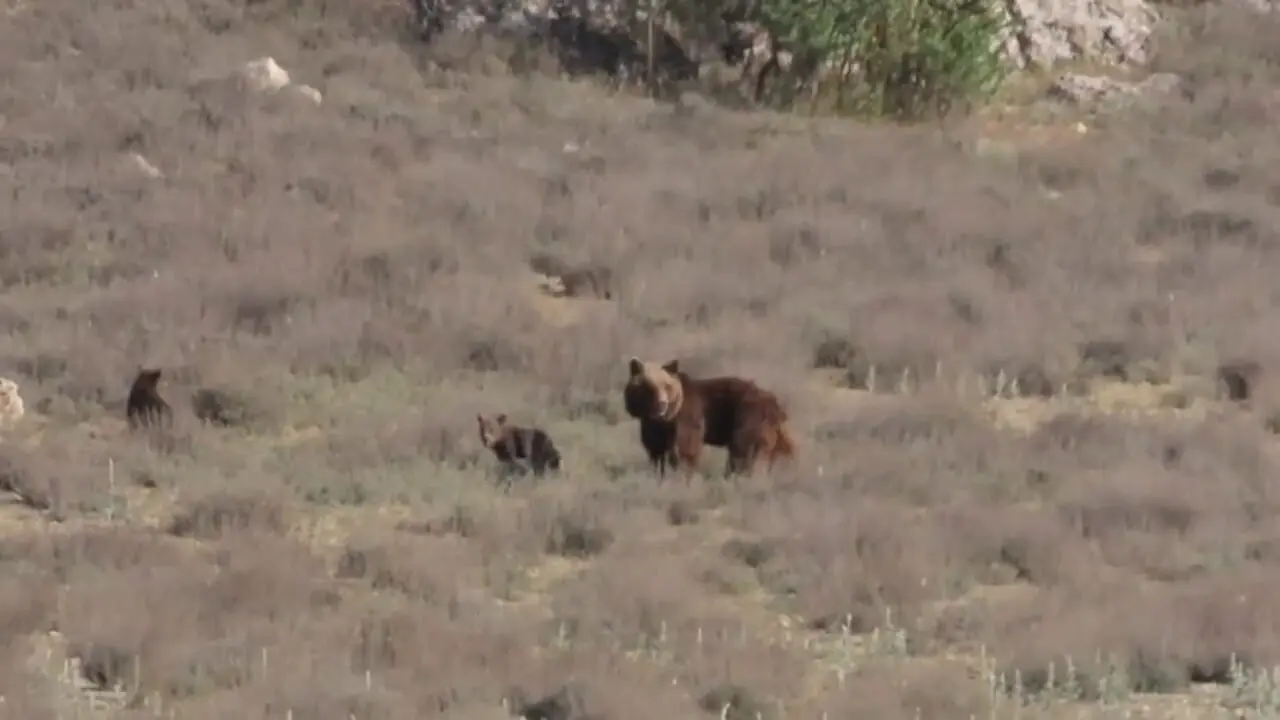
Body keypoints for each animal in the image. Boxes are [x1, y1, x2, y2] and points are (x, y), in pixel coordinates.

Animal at [623, 357, 796, 479]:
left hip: (748, 417)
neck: (664, 420)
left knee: (742, 450)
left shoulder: (687, 417)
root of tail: (775, 404)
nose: (662, 404)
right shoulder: (650, 426)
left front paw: (682, 474)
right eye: (648, 387)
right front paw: (657, 473)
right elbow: (655, 450)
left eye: (667, 386)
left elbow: (686, 447)